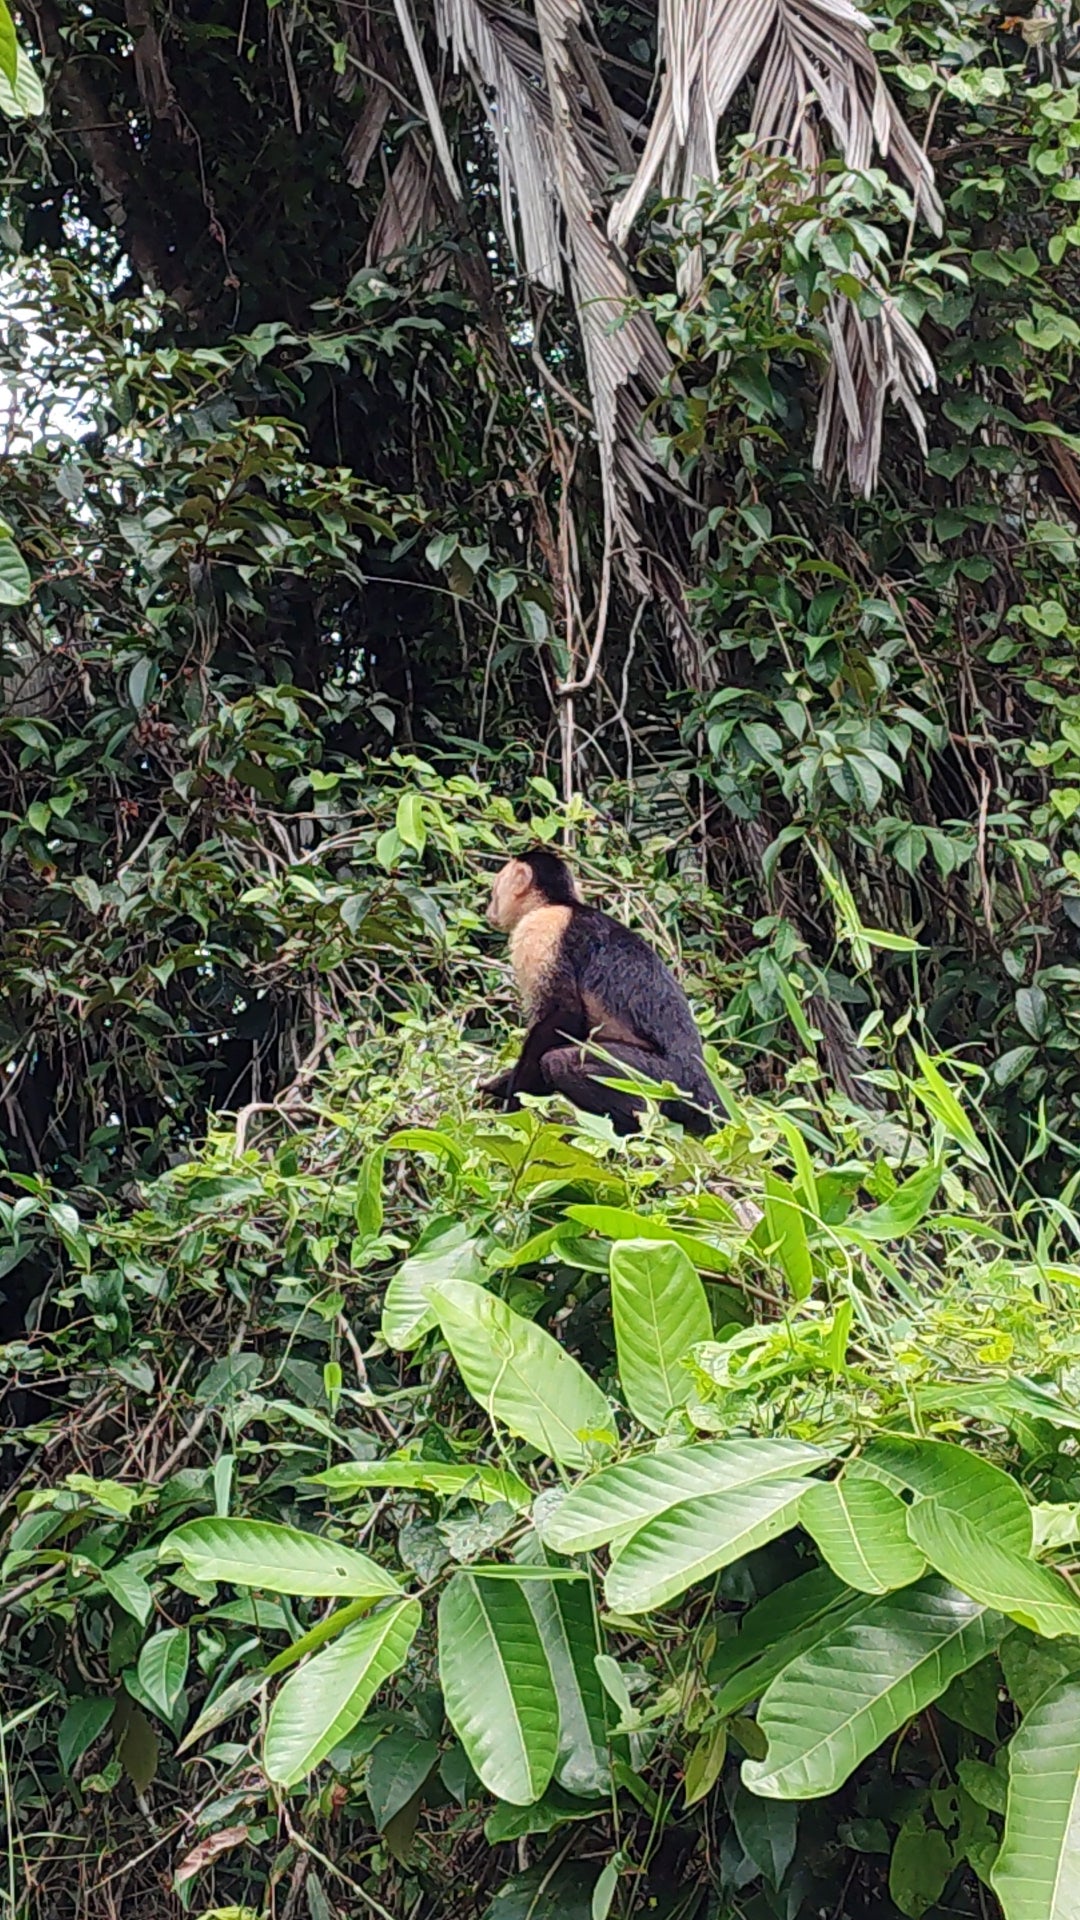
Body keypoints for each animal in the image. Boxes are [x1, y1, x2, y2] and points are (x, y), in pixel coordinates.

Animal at [476, 848, 714, 1128]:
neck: (558, 903)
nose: (489, 910)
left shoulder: (541, 931)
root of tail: (700, 1079)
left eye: (494, 892)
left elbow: (563, 1017)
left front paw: (514, 1106)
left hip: (661, 1080)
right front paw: (497, 1085)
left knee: (558, 1062)